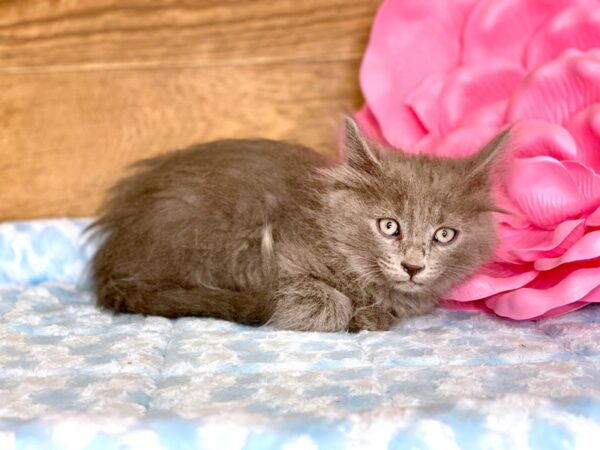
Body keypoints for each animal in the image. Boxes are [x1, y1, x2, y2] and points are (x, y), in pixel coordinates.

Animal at [91, 118, 508, 332]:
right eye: (389, 226)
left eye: (444, 235)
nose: (413, 266)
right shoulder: (269, 260)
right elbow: (330, 302)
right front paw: (355, 315)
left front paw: (375, 314)